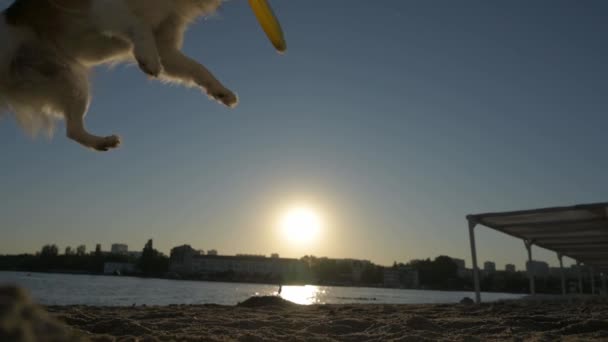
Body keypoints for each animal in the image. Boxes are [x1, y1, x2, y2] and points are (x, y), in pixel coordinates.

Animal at [1, 0, 239, 151]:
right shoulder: (108, 9)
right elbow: (138, 24)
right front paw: (147, 57)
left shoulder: (167, 48)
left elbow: (198, 69)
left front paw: (221, 92)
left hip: (71, 82)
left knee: (73, 130)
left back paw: (101, 142)